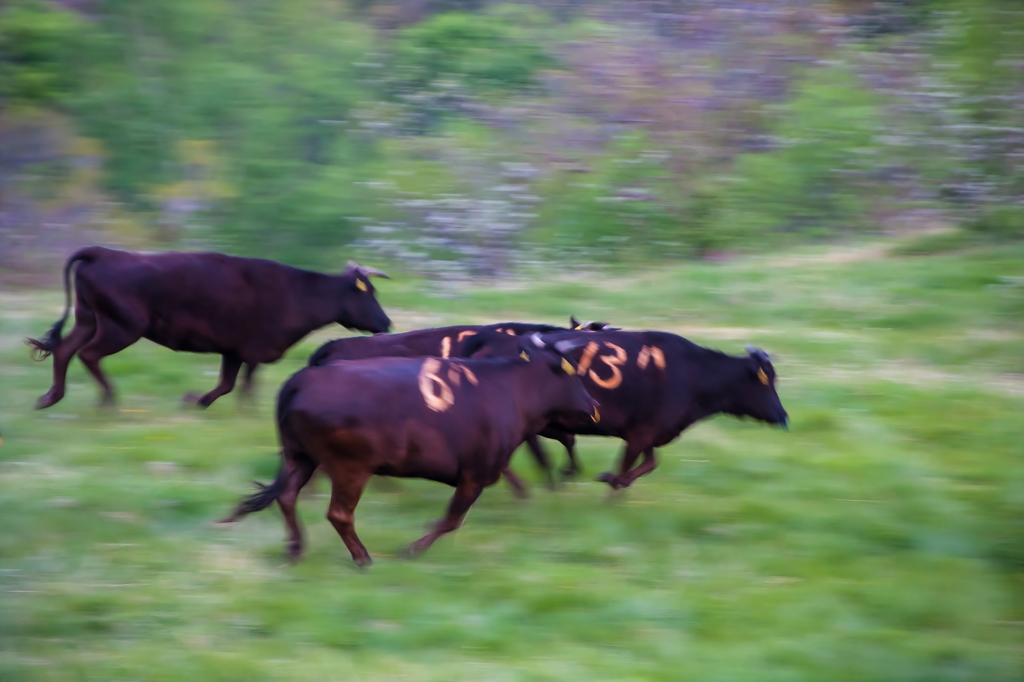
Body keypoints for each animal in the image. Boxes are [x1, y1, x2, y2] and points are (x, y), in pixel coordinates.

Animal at [24, 249, 391, 409]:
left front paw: (196, 400)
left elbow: (227, 384)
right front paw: (242, 409)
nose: (387, 323)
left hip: (89, 319)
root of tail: (103, 253)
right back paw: (108, 398)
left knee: (65, 349)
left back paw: (50, 397)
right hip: (120, 328)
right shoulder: (254, 349)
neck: (296, 292)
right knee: (88, 354)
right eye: (369, 292)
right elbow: (242, 385)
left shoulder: (234, 350)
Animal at [220, 333, 598, 561]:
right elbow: (451, 520)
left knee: (286, 497)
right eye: (571, 374)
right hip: (350, 467)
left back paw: (297, 548)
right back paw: (362, 558)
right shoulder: (474, 474)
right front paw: (413, 549)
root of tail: (301, 379)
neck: (510, 391)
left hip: (300, 456)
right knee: (339, 514)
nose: (593, 405)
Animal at [460, 329, 786, 489]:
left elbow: (649, 464)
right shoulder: (641, 433)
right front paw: (611, 483)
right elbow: (629, 466)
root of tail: (491, 339)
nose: (784, 416)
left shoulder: (648, 433)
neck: (690, 372)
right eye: (766, 379)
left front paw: (611, 480)